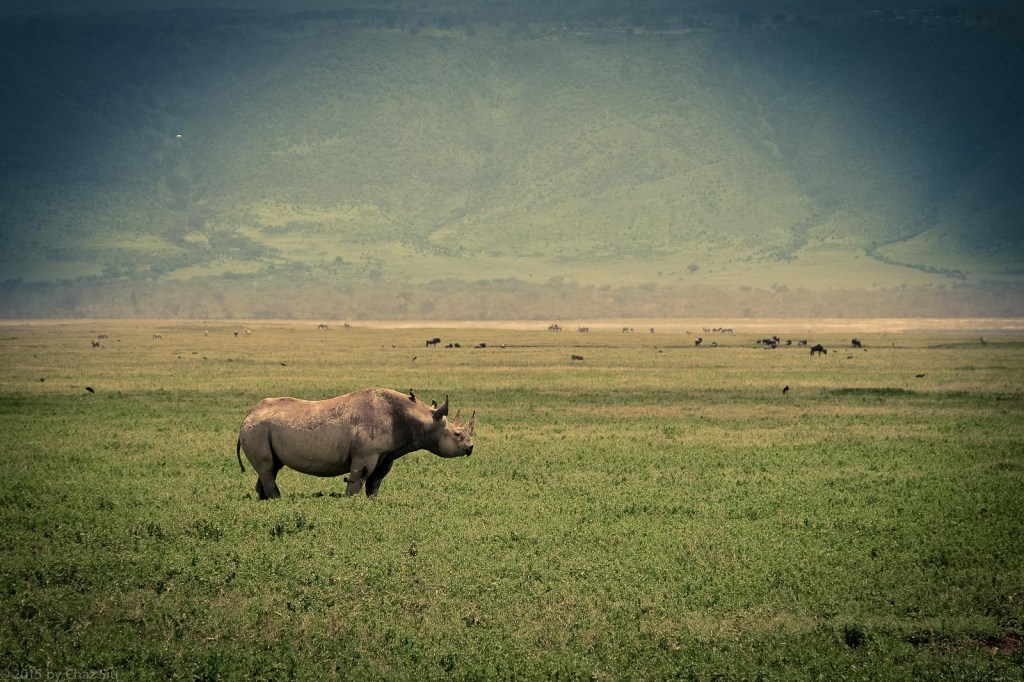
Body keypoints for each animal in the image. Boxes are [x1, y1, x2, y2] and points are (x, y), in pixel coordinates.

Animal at [236, 387, 474, 499]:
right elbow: (357, 480)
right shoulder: (366, 453)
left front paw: (373, 503)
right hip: (256, 429)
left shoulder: (386, 454)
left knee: (271, 467)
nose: (470, 448)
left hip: (262, 429)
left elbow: (375, 483)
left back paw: (265, 502)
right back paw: (278, 501)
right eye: (456, 435)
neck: (418, 419)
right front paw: (349, 502)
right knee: (267, 468)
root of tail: (247, 416)